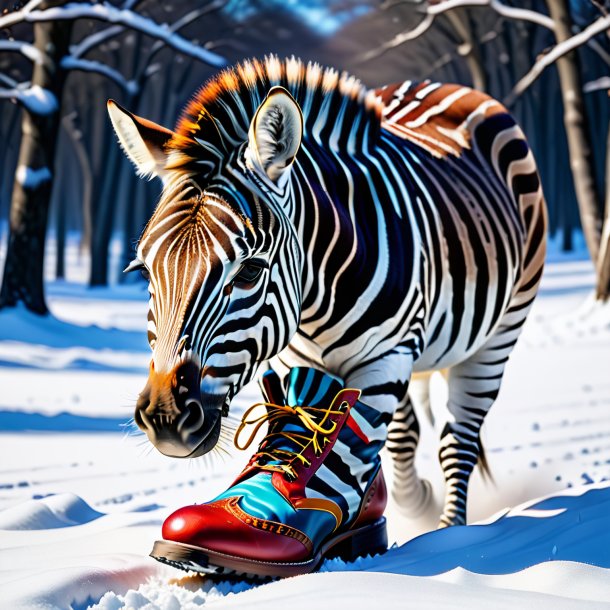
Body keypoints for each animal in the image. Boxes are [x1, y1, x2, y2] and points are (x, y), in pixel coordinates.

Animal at [107, 54, 544, 524]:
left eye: (250, 271)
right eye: (145, 272)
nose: (166, 418)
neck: (319, 308)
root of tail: (448, 86)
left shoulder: (386, 359)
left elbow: (345, 457)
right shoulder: (298, 363)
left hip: (497, 337)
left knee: (456, 443)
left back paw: (448, 525)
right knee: (411, 433)